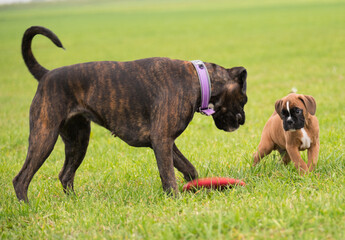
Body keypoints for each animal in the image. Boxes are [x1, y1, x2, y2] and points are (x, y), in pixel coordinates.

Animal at [13, 26, 247, 202]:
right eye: (243, 100)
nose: (243, 120)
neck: (198, 79)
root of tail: (46, 75)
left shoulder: (165, 142)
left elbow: (188, 169)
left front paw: (195, 187)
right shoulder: (162, 141)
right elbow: (168, 175)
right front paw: (175, 200)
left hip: (77, 140)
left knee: (66, 175)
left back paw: (74, 202)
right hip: (44, 137)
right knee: (21, 179)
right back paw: (27, 207)